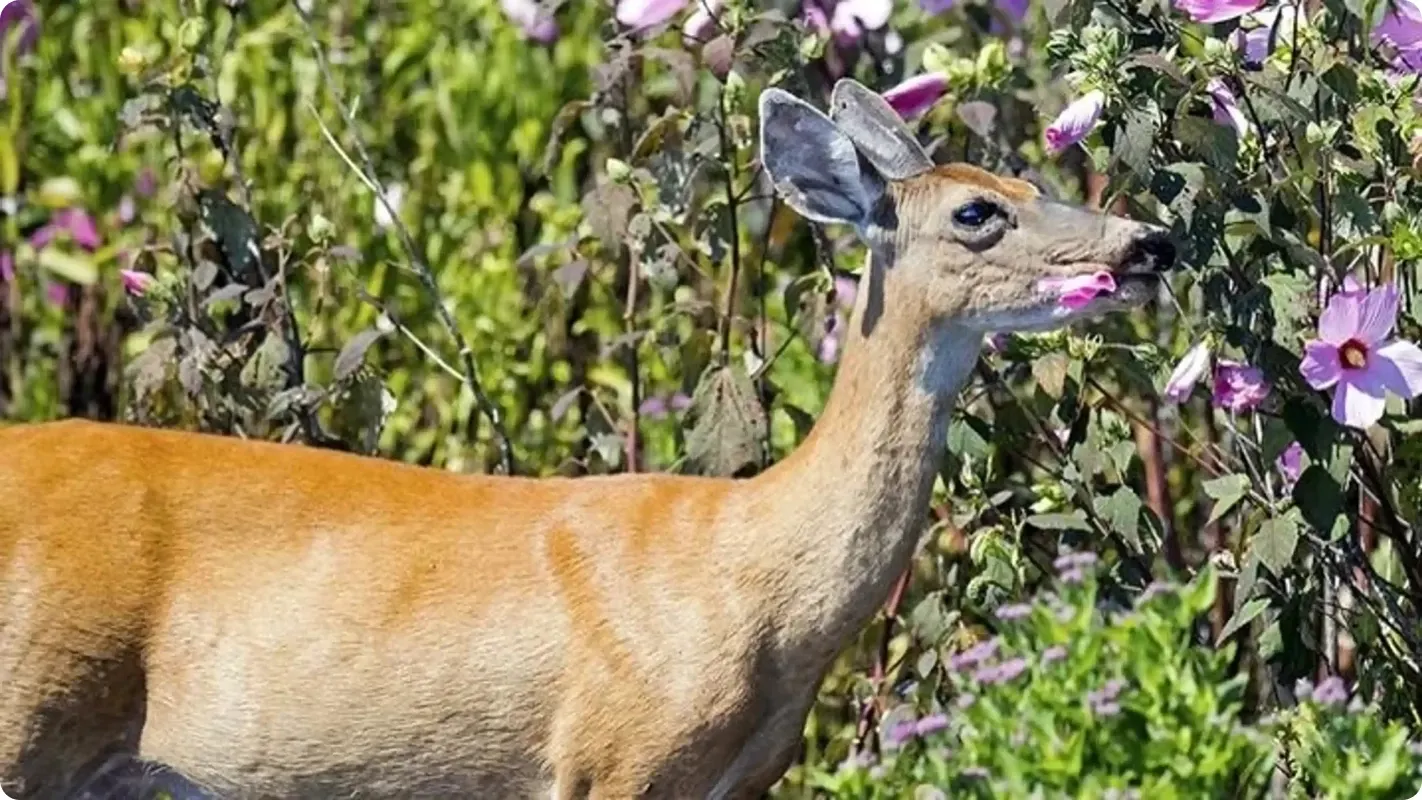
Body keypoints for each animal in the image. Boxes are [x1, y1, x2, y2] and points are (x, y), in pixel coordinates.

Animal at [0, 78, 1176, 800]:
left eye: (1030, 175)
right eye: (979, 213)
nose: (1148, 241)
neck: (753, 577)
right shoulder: (621, 753)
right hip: (30, 704)